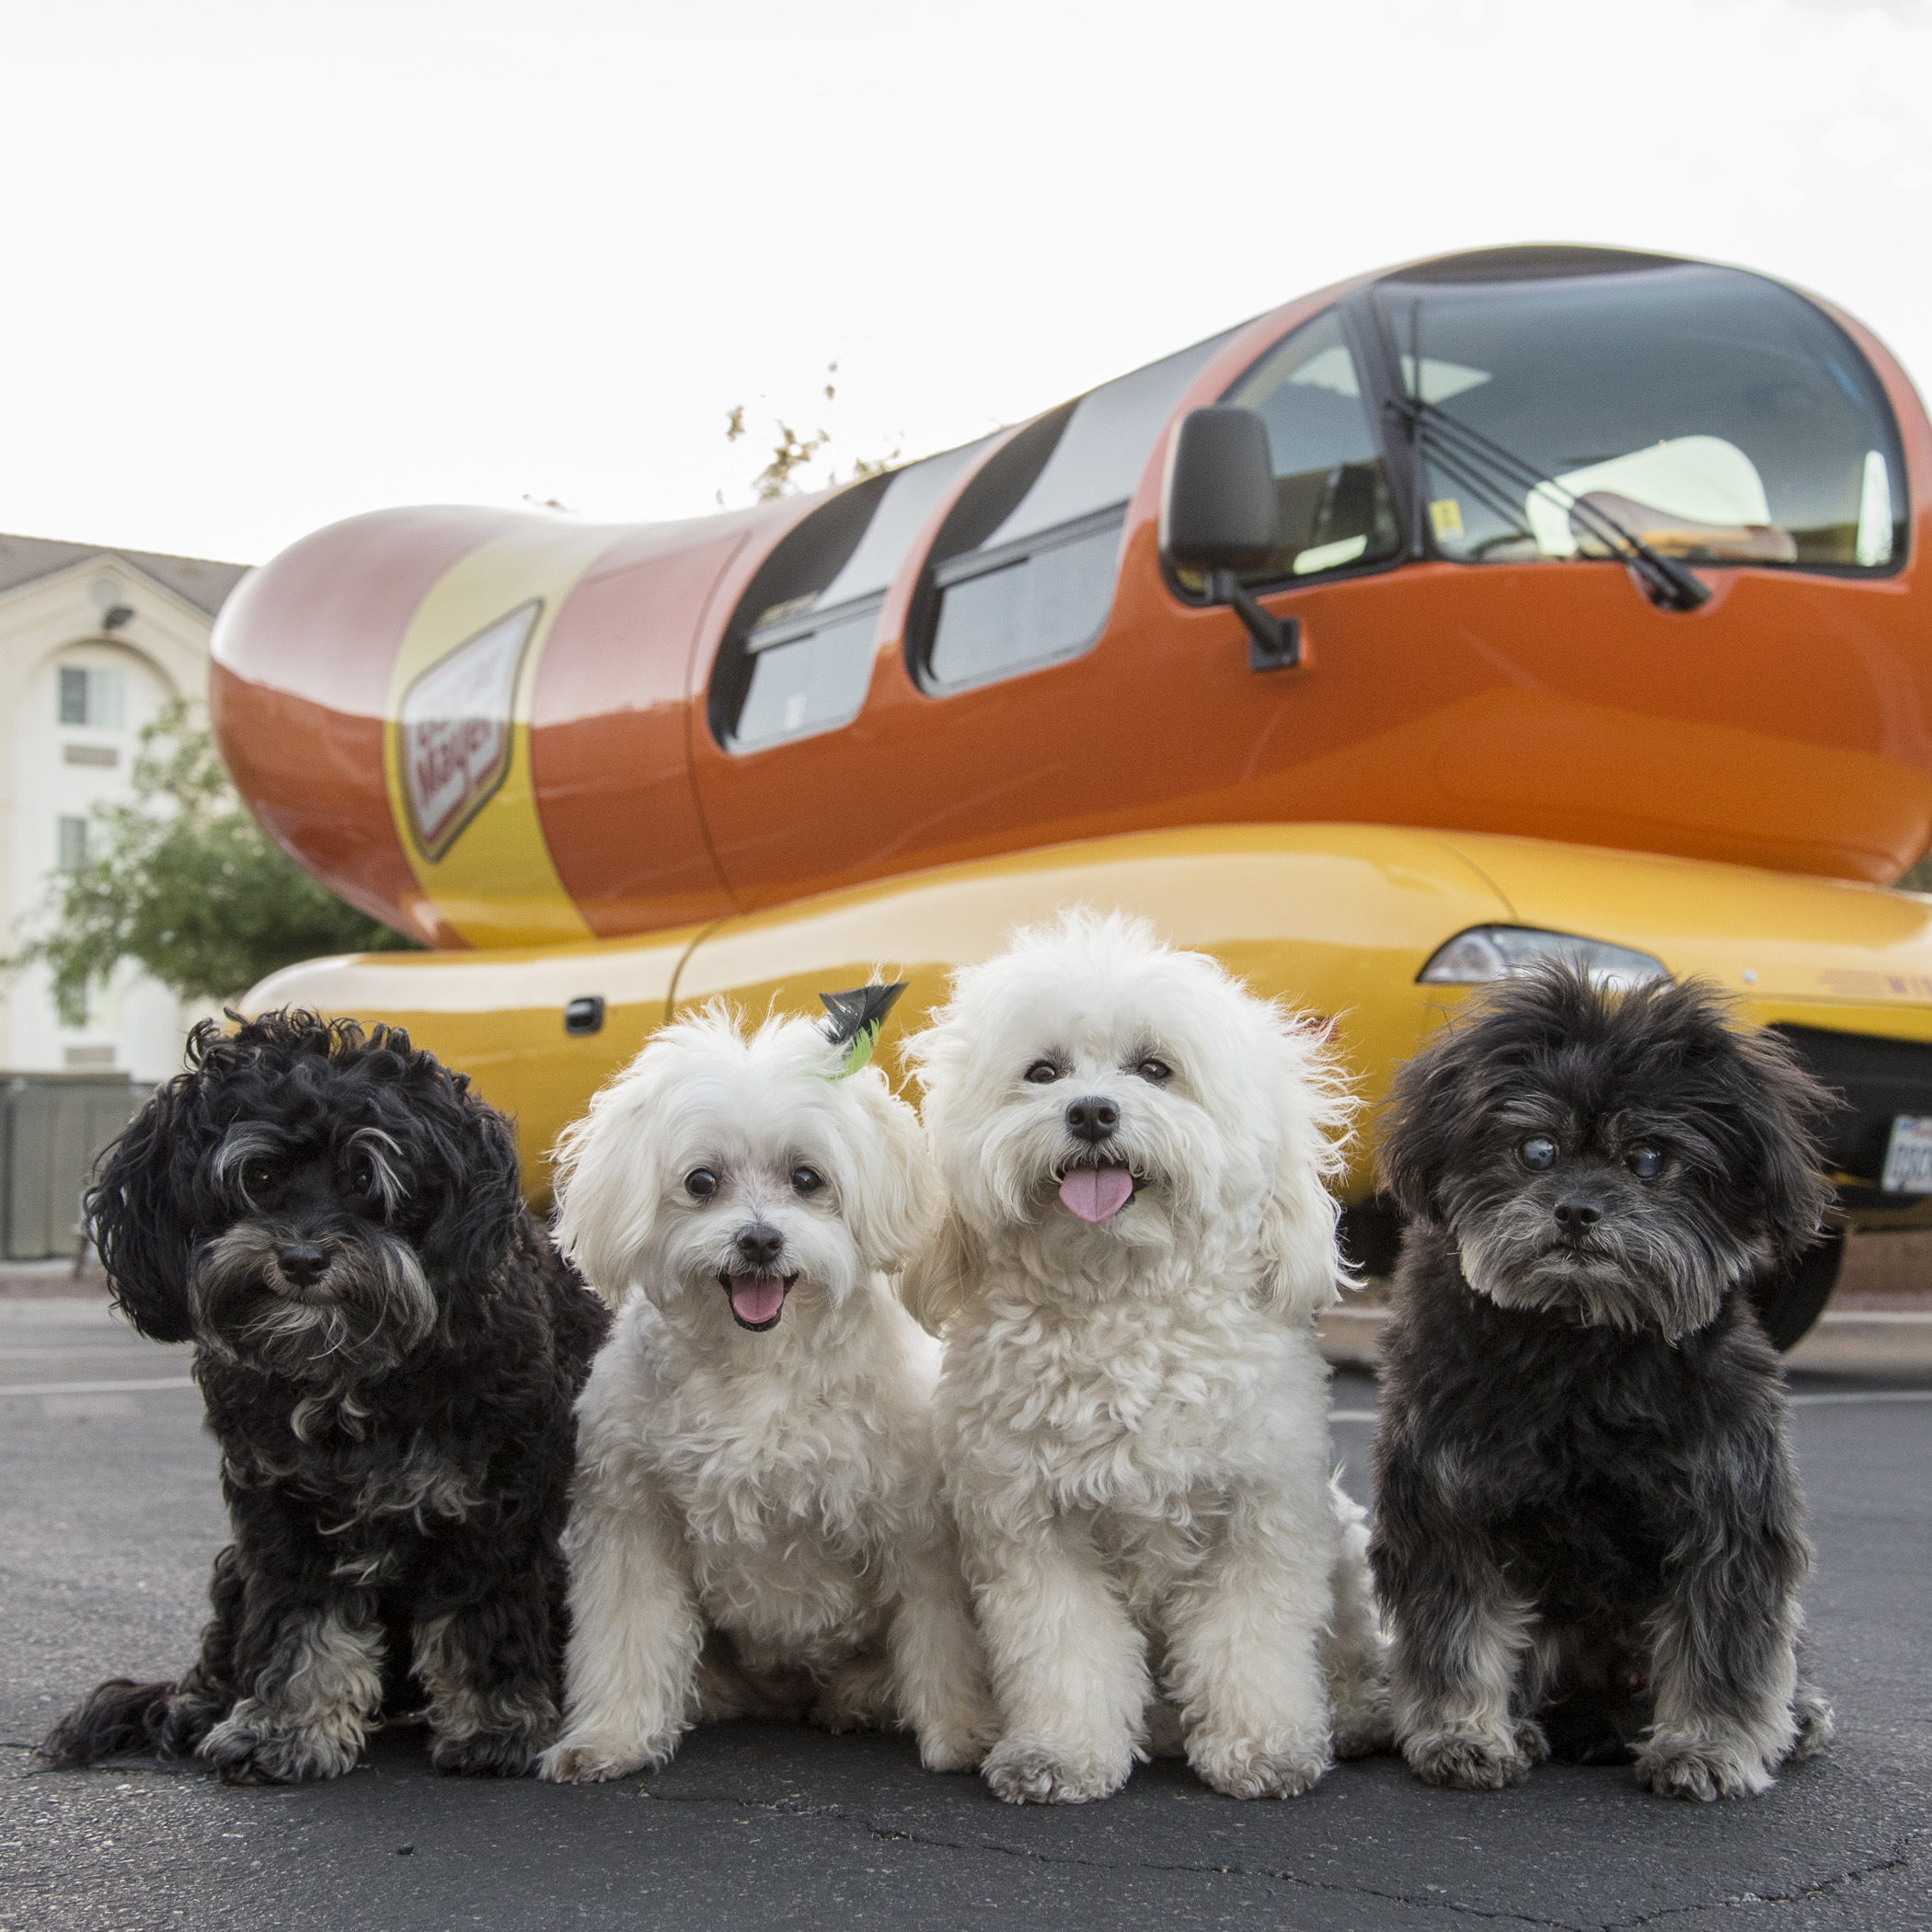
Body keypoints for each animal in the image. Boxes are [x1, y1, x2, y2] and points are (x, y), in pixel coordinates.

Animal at [43, 1012, 603, 1777]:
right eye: (260, 1175)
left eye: (366, 1178)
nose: (303, 1259)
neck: (351, 1369)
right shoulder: (283, 1511)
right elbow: (299, 1626)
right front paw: (283, 1729)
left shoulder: (494, 1502)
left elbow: (480, 1614)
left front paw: (497, 1726)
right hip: (233, 1572)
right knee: (222, 1652)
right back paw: (193, 1710)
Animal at [545, 1005, 996, 1785]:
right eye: (701, 1181)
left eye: (807, 1178)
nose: (759, 1240)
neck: (759, 1366)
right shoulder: (633, 1521)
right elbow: (626, 1638)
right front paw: (610, 1739)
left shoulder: (916, 1529)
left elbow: (943, 1642)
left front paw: (963, 1733)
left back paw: (859, 1701)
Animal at [903, 912, 1390, 1800]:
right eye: (1043, 1071)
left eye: (1155, 1069)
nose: (1093, 1112)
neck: (1119, 1305)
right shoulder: (1032, 1529)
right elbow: (1064, 1649)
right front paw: (1061, 1753)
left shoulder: (1262, 1515)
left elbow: (1253, 1644)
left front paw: (1264, 1747)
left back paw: (1358, 1712)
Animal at [1367, 973, 1831, 1800]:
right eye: (1537, 1149)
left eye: (1648, 1157)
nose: (1577, 1210)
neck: (1581, 1340)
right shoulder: (1449, 1506)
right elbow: (1456, 1633)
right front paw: (1462, 1734)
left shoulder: (1730, 1506)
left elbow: (1725, 1643)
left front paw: (1709, 1748)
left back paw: (1795, 1718)